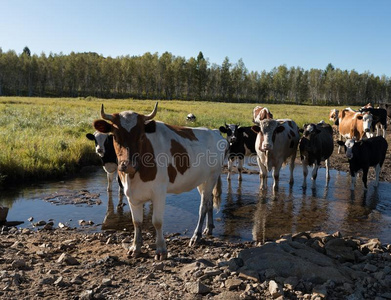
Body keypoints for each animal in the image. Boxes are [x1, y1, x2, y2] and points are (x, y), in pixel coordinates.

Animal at [92, 102, 230, 258]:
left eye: (141, 136)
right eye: (115, 136)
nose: (128, 165)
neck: (134, 175)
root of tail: (215, 132)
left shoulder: (159, 193)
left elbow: (157, 222)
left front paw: (161, 250)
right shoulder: (130, 194)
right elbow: (136, 222)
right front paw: (135, 247)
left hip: (213, 175)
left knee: (204, 206)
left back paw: (197, 235)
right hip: (202, 179)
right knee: (210, 202)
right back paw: (209, 228)